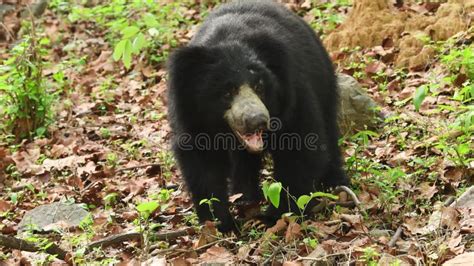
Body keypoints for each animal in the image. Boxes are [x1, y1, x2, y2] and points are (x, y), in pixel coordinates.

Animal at [167, 0, 348, 233]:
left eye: (259, 86)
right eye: (227, 92)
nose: (258, 120)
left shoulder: (294, 96)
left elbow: (301, 148)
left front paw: (273, 217)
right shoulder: (190, 114)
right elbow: (202, 163)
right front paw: (221, 223)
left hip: (324, 80)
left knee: (329, 129)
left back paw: (336, 183)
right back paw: (245, 196)